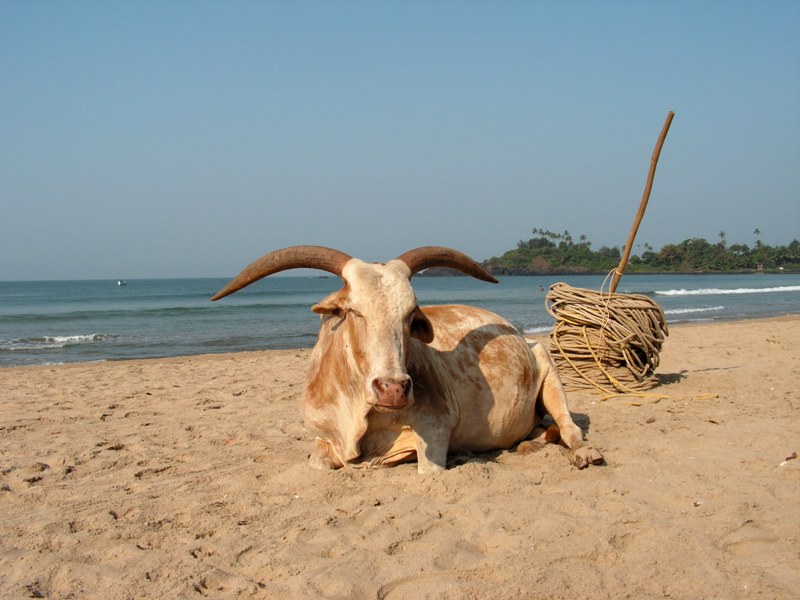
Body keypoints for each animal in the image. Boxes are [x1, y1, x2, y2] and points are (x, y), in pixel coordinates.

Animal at [212, 245, 600, 474]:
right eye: (354, 311)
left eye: (411, 315)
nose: (393, 389)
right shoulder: (322, 440)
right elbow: (319, 463)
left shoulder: (437, 430)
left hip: (549, 370)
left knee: (568, 426)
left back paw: (584, 453)